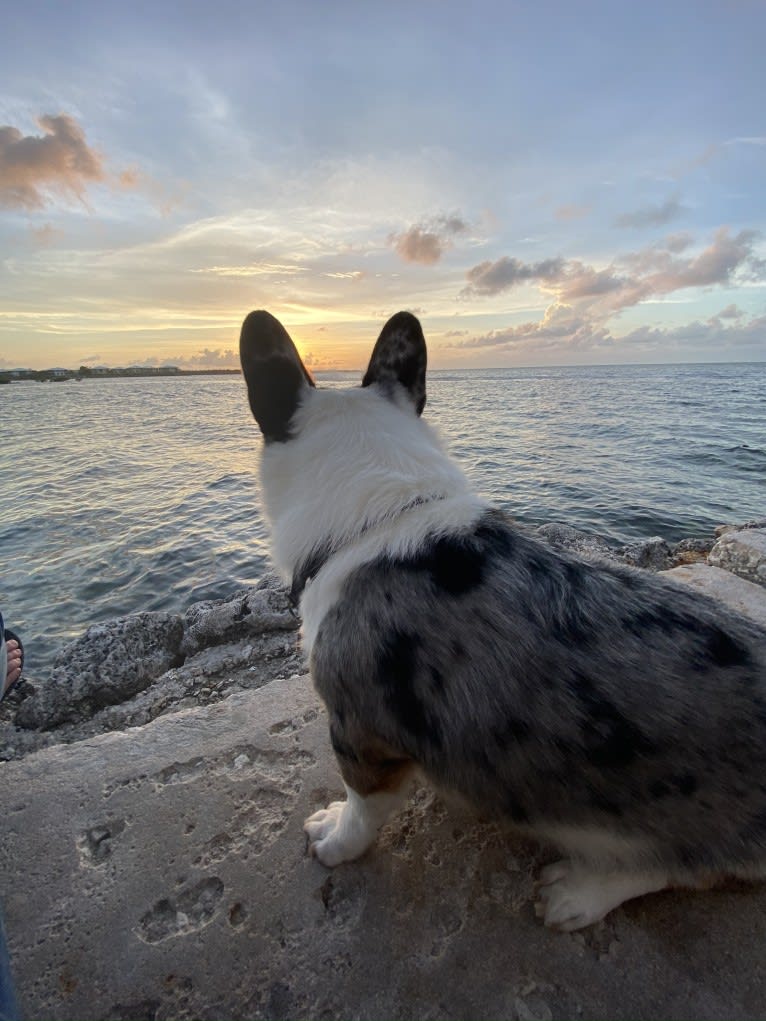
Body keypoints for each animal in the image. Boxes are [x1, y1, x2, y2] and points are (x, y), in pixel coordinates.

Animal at [241, 310, 766, 935]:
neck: (378, 516)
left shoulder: (360, 734)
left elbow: (361, 812)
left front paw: (333, 839)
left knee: (686, 866)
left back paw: (578, 893)